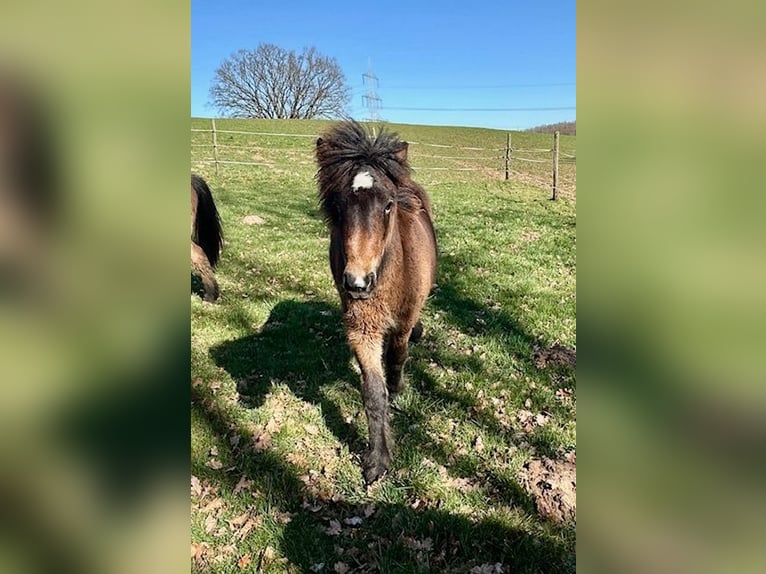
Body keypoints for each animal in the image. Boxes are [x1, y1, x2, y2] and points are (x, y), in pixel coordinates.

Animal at [315, 121, 437, 483]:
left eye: (388, 205)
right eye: (337, 207)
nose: (357, 283)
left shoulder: (403, 320)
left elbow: (397, 356)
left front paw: (397, 387)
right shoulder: (361, 327)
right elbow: (372, 391)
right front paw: (378, 459)